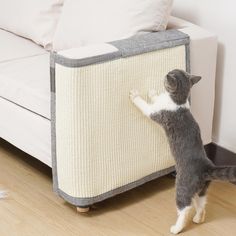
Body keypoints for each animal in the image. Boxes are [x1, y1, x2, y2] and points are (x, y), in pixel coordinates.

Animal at [129, 68, 236, 234]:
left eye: (169, 73)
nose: (166, 73)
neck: (179, 102)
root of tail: (207, 167)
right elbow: (157, 98)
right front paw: (154, 93)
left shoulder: (156, 112)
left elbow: (145, 106)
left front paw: (135, 95)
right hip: (201, 188)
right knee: (201, 202)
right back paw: (199, 218)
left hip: (182, 186)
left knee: (185, 207)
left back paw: (177, 227)